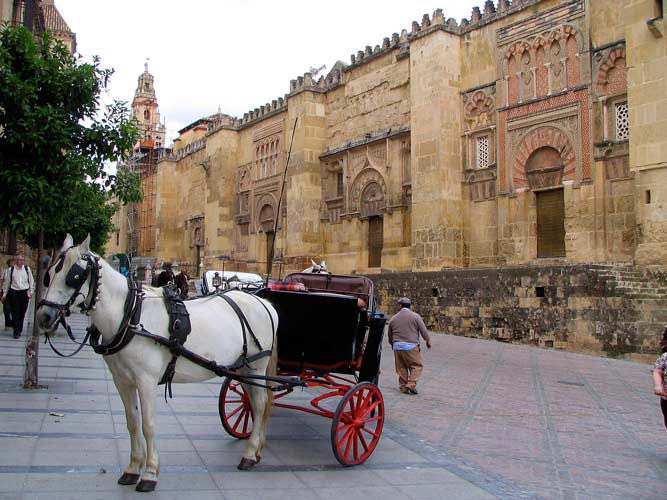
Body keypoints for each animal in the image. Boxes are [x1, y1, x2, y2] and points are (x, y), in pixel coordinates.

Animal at [37, 234, 276, 492]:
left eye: (74, 275)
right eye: (49, 273)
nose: (43, 317)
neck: (130, 314)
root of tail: (264, 303)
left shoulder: (146, 381)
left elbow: (148, 425)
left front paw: (150, 473)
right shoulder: (122, 381)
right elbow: (132, 423)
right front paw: (132, 469)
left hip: (256, 366)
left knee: (260, 404)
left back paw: (249, 454)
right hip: (244, 368)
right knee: (256, 403)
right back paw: (257, 450)